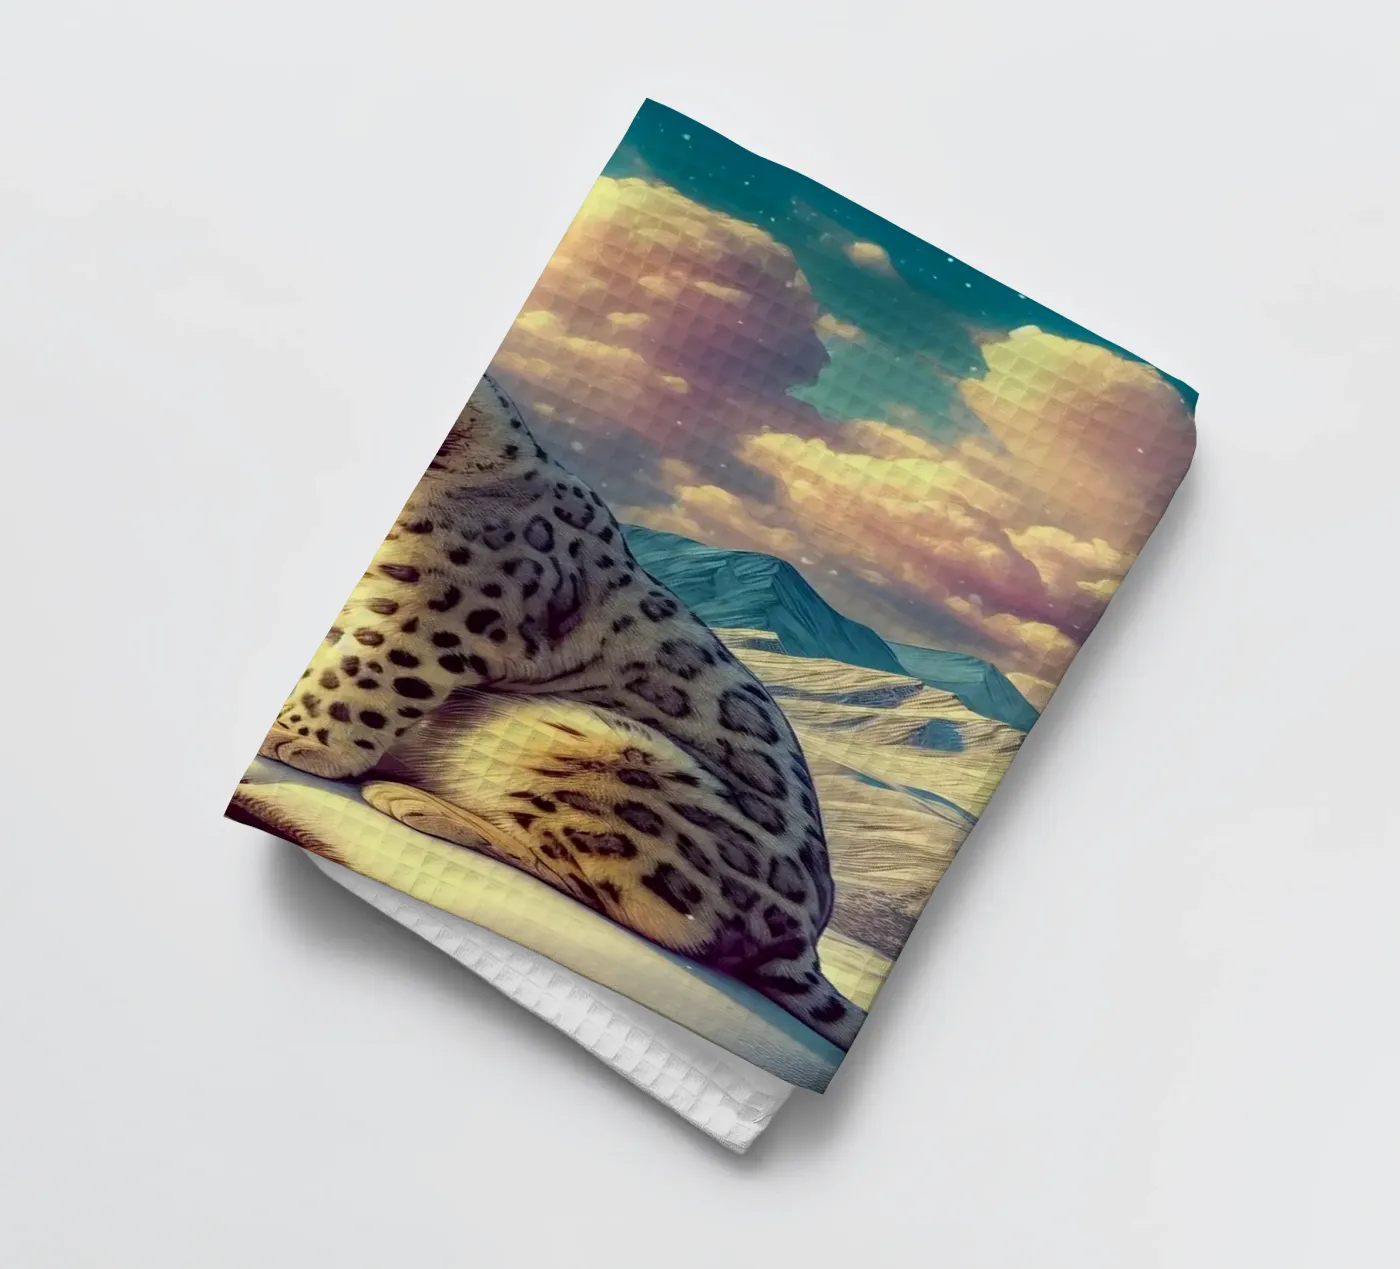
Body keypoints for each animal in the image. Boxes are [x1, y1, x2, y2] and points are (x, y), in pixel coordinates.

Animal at [259, 372, 864, 1050]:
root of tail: (804, 939)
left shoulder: (430, 615)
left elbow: (359, 677)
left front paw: (295, 738)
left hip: (600, 757)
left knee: (602, 890)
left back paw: (421, 804)